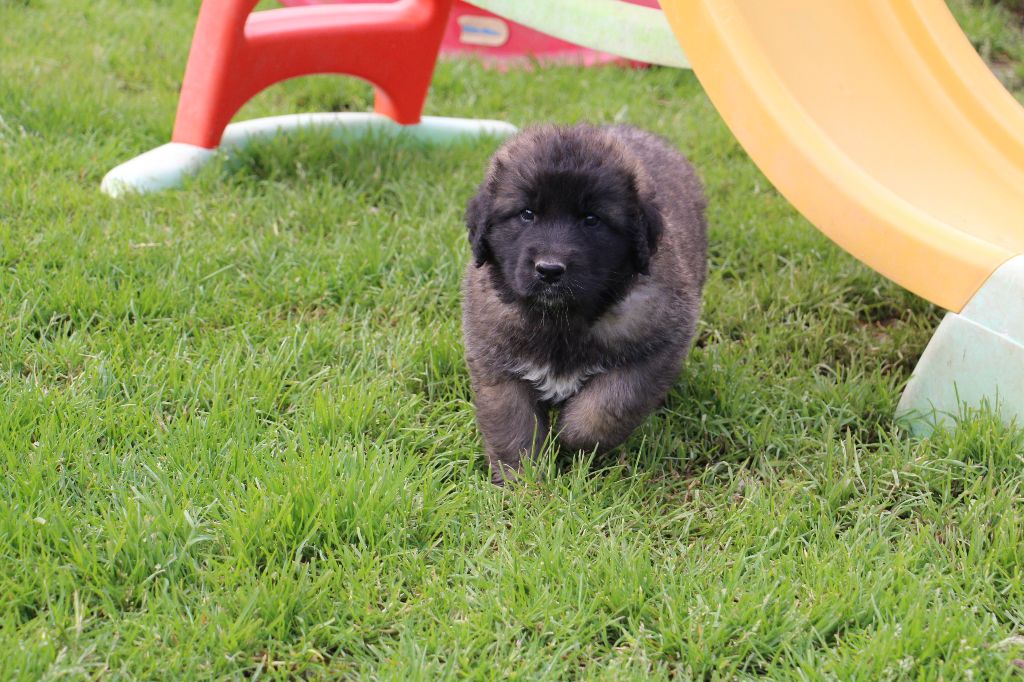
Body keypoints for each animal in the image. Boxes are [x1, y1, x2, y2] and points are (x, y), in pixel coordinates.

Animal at [462, 122, 708, 483]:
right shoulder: (497, 363)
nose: (550, 270)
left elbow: (602, 409)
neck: (559, 319)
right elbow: (513, 426)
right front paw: (523, 481)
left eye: (591, 219)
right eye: (527, 214)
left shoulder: (653, 352)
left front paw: (569, 441)